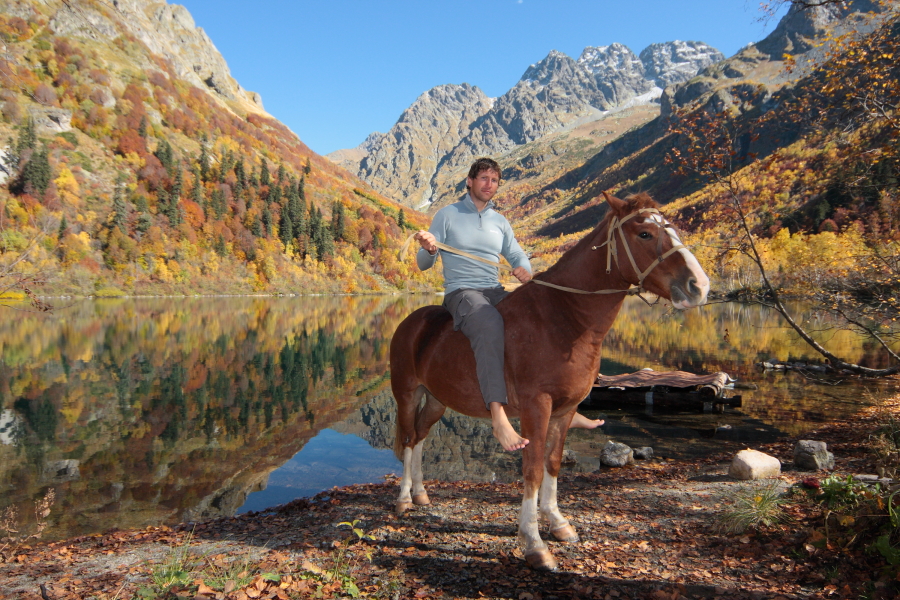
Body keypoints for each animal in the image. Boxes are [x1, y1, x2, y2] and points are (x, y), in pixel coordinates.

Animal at [386, 191, 712, 568]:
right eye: (644, 233)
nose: (699, 286)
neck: (564, 319)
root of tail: (412, 321)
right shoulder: (536, 407)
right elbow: (532, 469)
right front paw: (533, 542)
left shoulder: (565, 410)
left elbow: (553, 465)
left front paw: (557, 523)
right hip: (407, 394)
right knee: (408, 438)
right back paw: (403, 499)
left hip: (437, 400)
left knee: (420, 437)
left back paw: (421, 494)